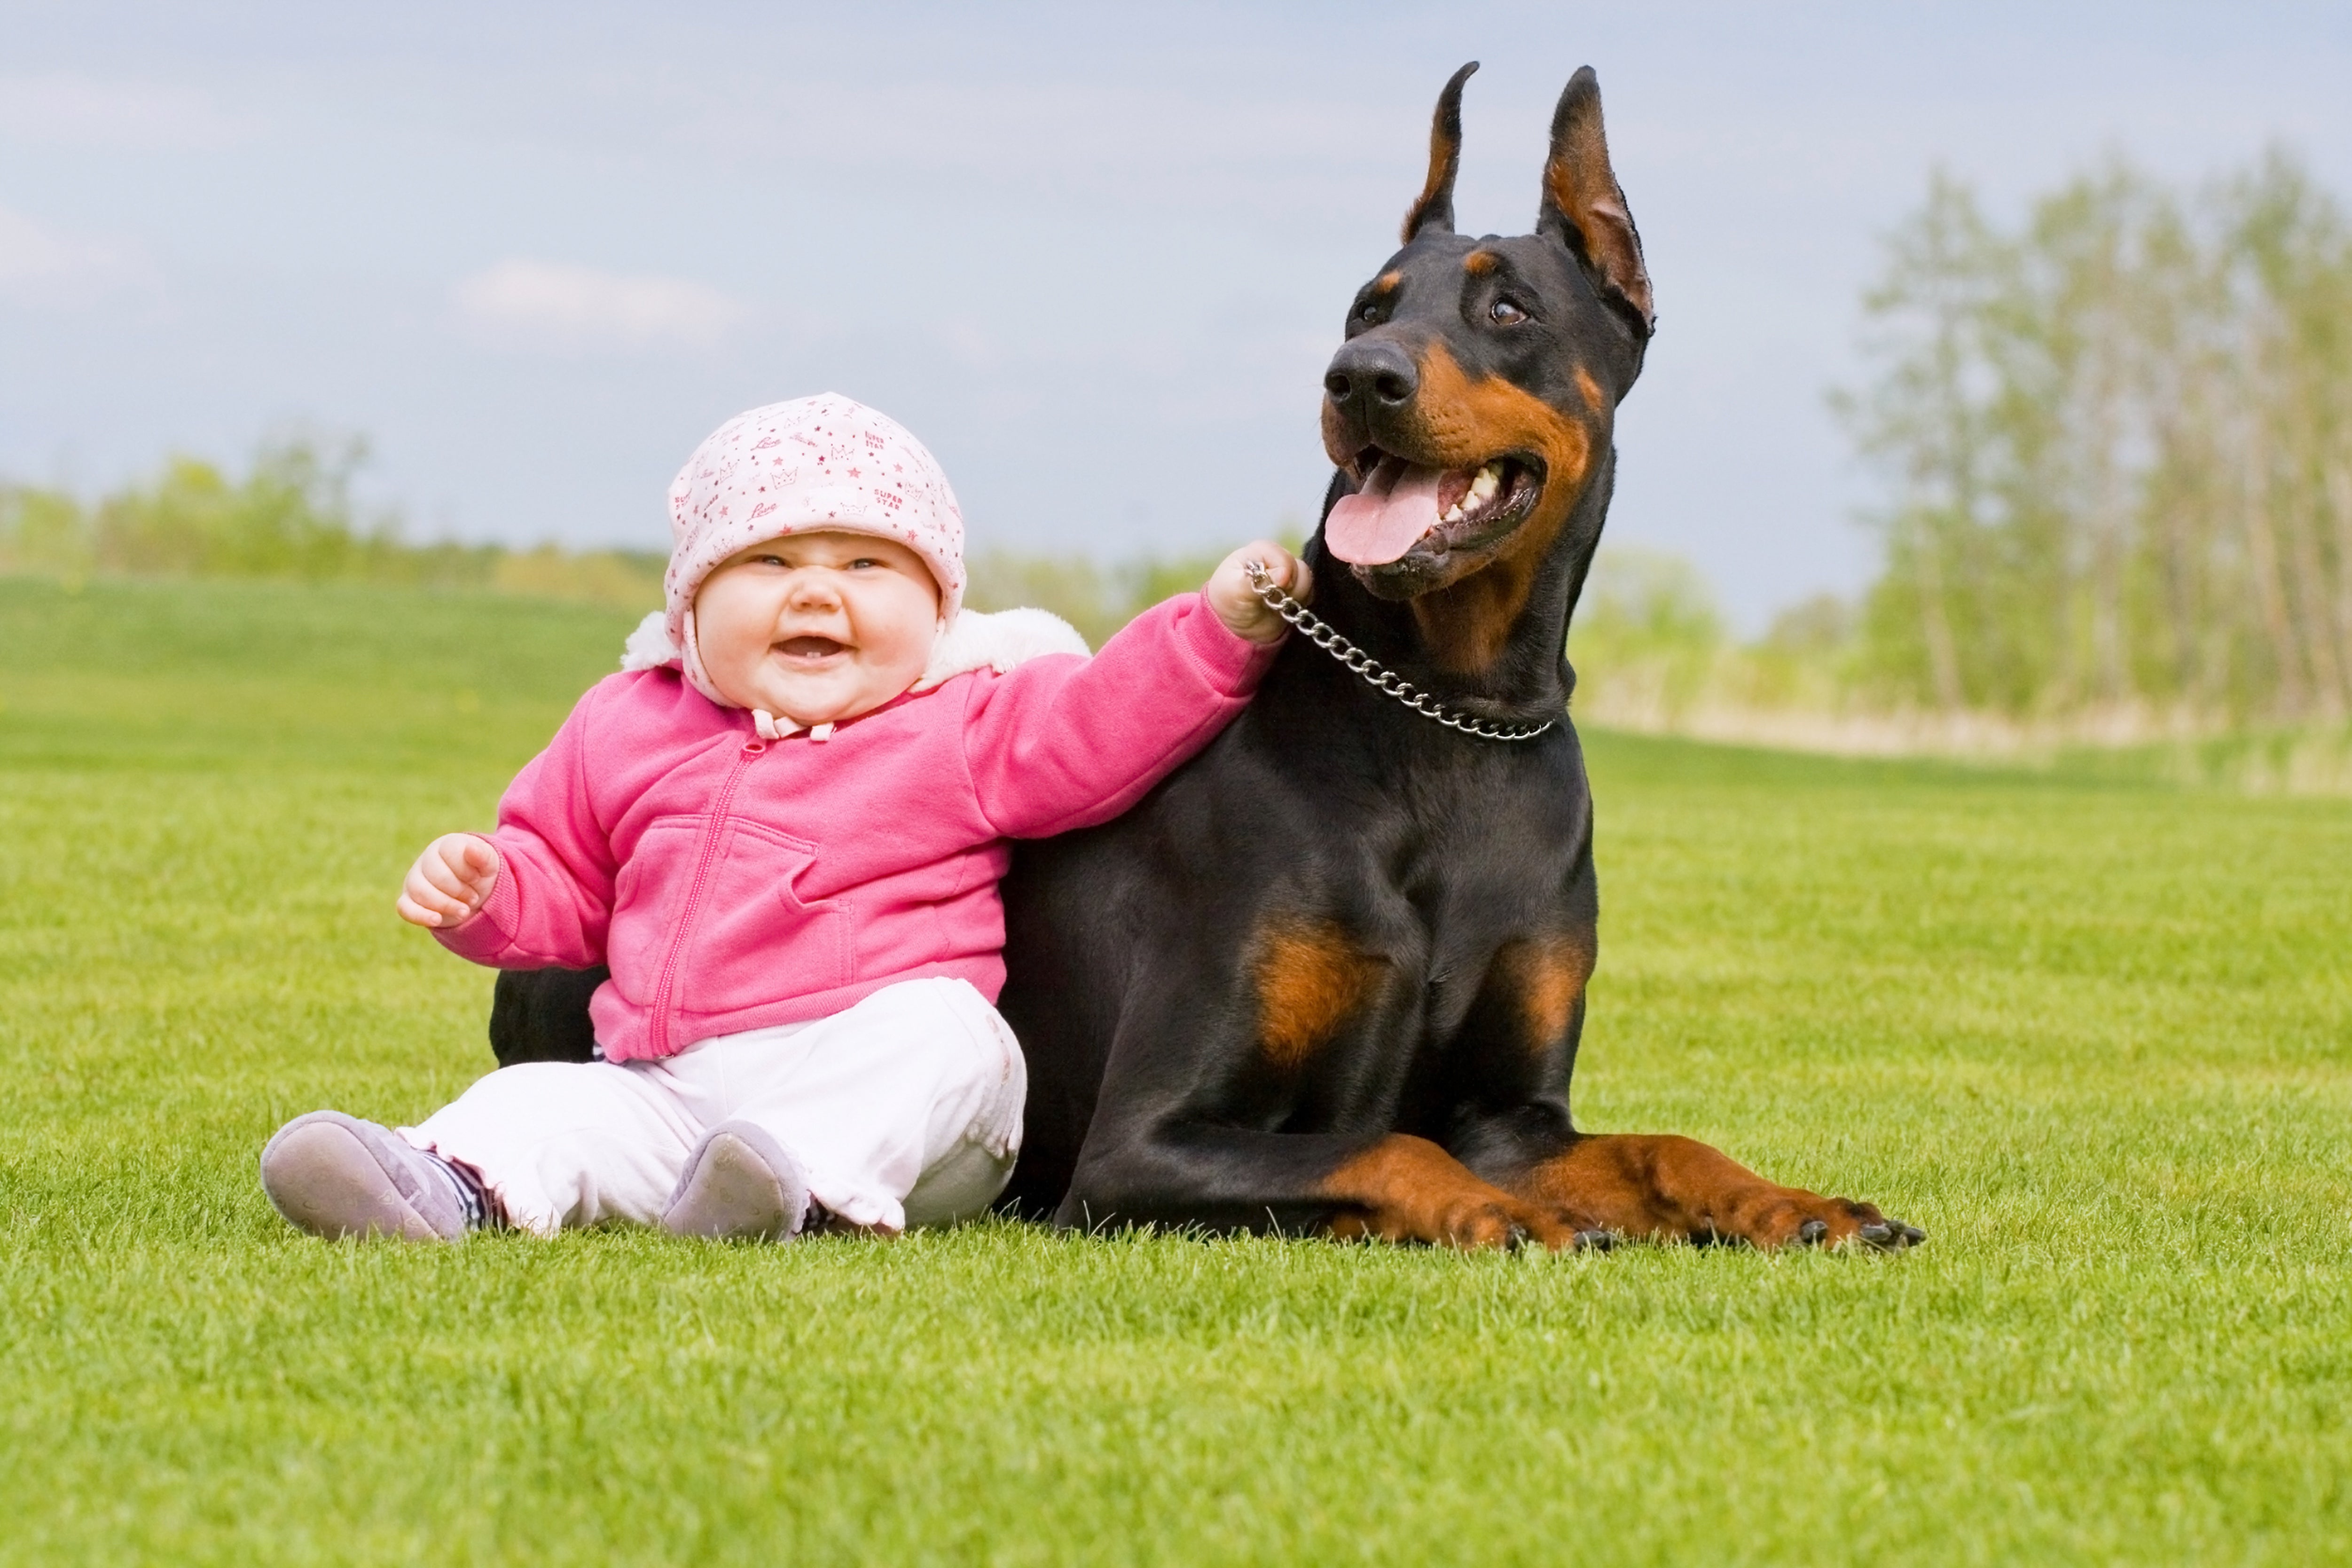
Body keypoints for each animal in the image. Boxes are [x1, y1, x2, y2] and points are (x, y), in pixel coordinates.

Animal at [486, 67, 1919, 1260]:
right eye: (1364, 307)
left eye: (1508, 307)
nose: (1358, 377)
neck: (1453, 717)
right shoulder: (1142, 1145)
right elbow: (1385, 1146)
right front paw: (1498, 1216)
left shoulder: (1515, 1111)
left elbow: (1657, 1144)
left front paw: (1794, 1204)